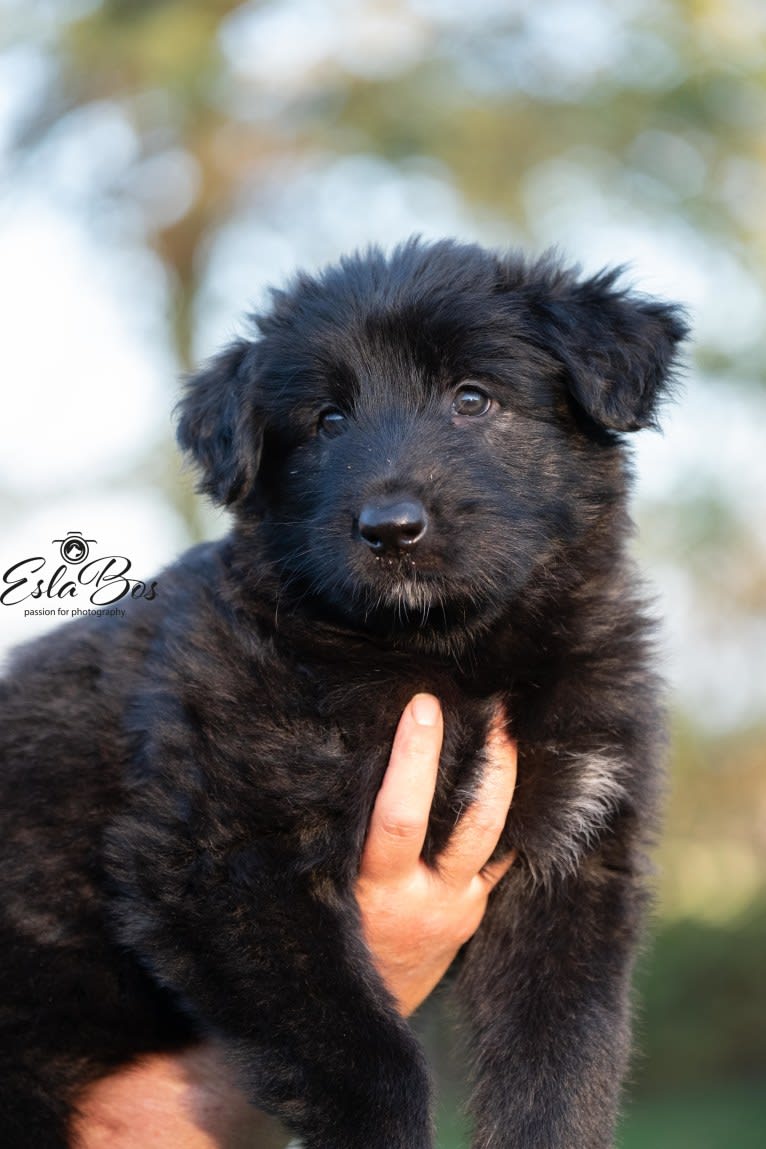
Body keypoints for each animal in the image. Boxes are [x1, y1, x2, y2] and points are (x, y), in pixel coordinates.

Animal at [0, 237, 684, 1144]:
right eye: (327, 421)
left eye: (473, 397)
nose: (391, 529)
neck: (449, 657)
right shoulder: (223, 855)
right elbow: (369, 1058)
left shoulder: (577, 858)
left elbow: (564, 1061)